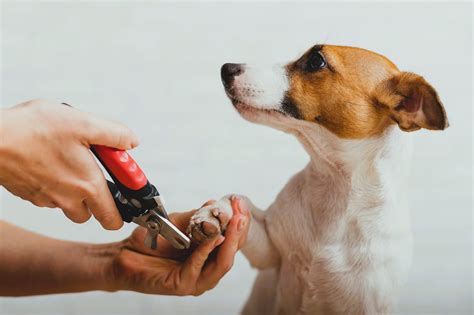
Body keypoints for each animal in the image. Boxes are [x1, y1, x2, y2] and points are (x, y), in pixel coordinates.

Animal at [186, 45, 448, 315]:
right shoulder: (269, 251)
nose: (226, 68)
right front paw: (216, 213)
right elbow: (240, 202)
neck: (336, 186)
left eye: (315, 61)